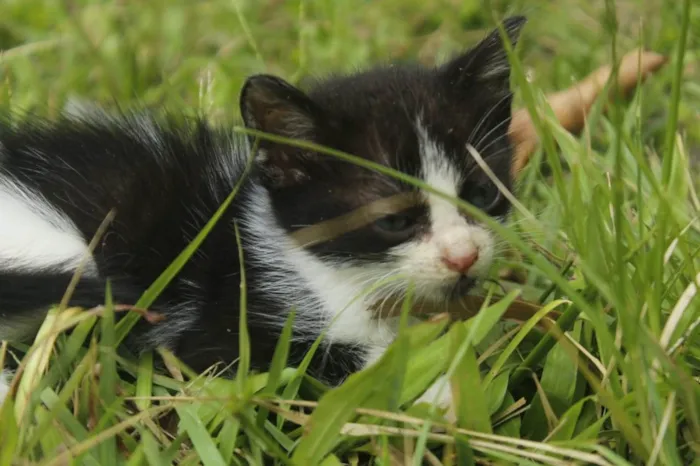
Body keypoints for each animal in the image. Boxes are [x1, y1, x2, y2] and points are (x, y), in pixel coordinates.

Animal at [0, 16, 524, 414]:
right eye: (394, 220)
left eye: (482, 194)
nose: (463, 256)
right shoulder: (216, 317)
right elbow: (278, 361)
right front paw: (437, 392)